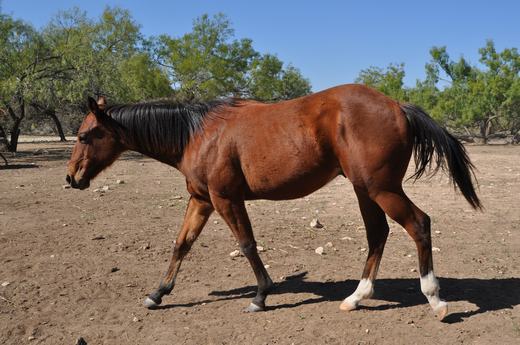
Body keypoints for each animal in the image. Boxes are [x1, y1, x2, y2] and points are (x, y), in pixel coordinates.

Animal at [65, 84, 480, 320]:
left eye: (85, 136)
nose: (71, 178)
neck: (198, 134)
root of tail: (397, 106)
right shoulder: (201, 199)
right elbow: (181, 244)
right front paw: (157, 294)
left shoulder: (225, 198)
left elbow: (247, 245)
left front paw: (261, 296)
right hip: (366, 191)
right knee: (377, 234)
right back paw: (356, 298)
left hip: (382, 189)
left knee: (419, 224)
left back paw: (435, 300)